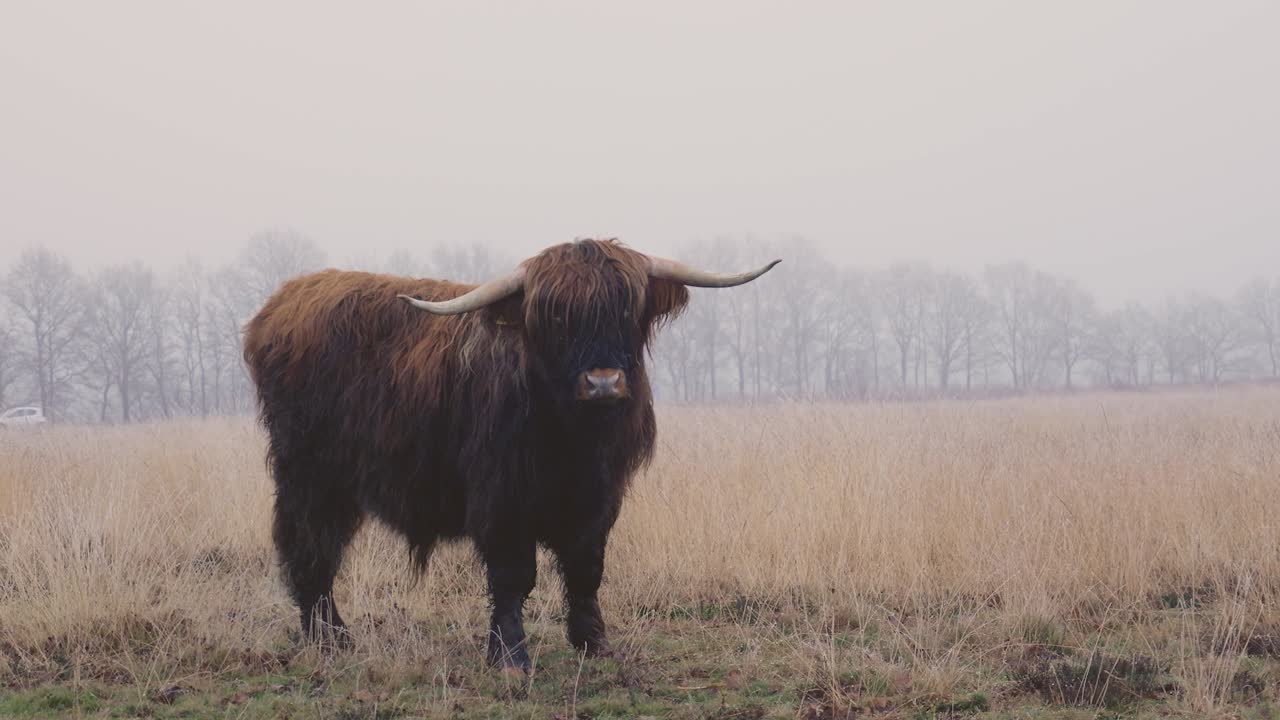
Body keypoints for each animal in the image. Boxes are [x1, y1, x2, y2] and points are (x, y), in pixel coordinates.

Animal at [242, 238, 779, 672]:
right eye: (557, 317)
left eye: (628, 312)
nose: (603, 383)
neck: (575, 439)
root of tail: (282, 302)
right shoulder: (502, 497)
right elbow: (513, 576)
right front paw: (510, 657)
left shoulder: (600, 496)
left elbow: (587, 568)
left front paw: (594, 643)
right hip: (309, 475)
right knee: (309, 548)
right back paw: (330, 639)